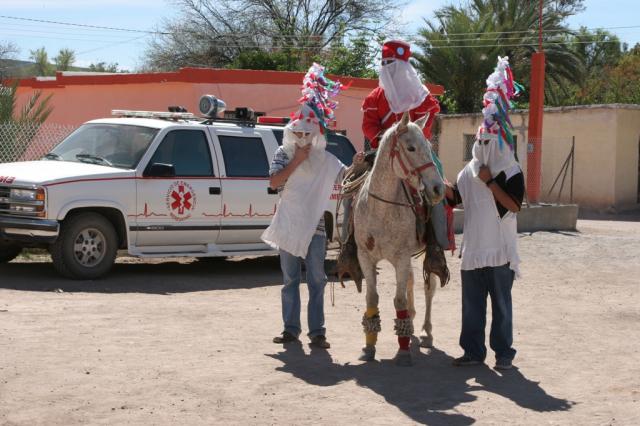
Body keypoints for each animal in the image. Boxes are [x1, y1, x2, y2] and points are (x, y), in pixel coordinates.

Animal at [350, 112, 444, 366]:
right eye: (410, 147)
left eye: (428, 147)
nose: (437, 189)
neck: (381, 209)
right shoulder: (365, 257)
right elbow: (372, 298)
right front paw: (369, 348)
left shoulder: (401, 257)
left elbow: (399, 300)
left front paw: (403, 352)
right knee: (411, 281)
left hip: (427, 254)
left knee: (428, 288)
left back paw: (426, 332)